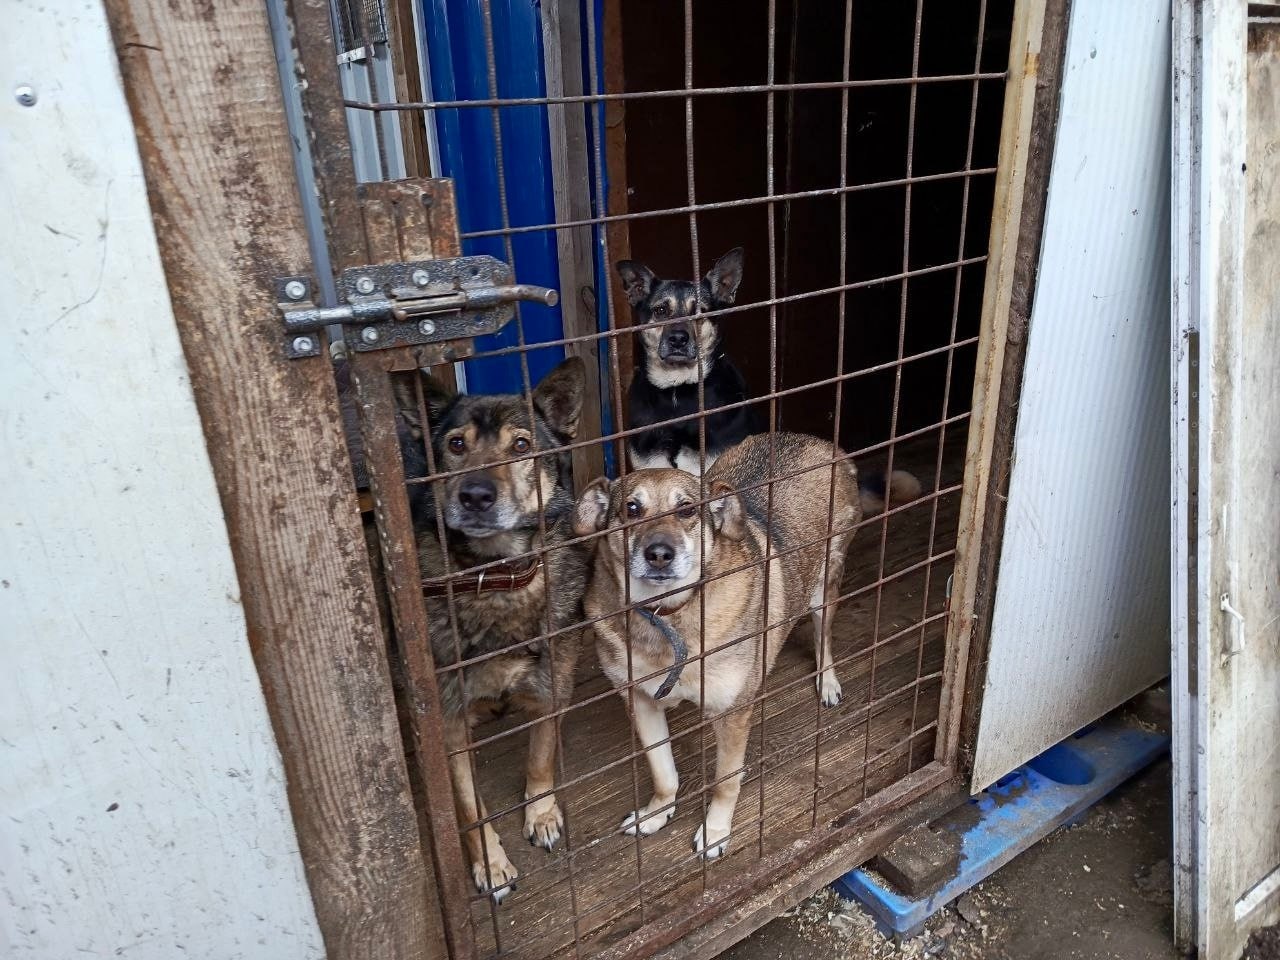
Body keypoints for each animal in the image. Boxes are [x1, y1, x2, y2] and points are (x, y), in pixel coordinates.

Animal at [395, 357, 589, 902]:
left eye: (521, 446)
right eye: (456, 444)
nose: (476, 494)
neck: (496, 576)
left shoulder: (551, 692)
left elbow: (540, 759)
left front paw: (541, 814)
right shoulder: (449, 724)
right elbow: (467, 807)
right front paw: (490, 862)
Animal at [574, 432, 918, 860]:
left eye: (687, 509)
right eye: (631, 509)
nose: (659, 555)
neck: (667, 618)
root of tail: (825, 445)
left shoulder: (732, 714)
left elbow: (725, 781)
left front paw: (716, 832)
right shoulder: (640, 701)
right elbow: (663, 771)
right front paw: (656, 813)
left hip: (824, 588)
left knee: (823, 638)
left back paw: (828, 682)